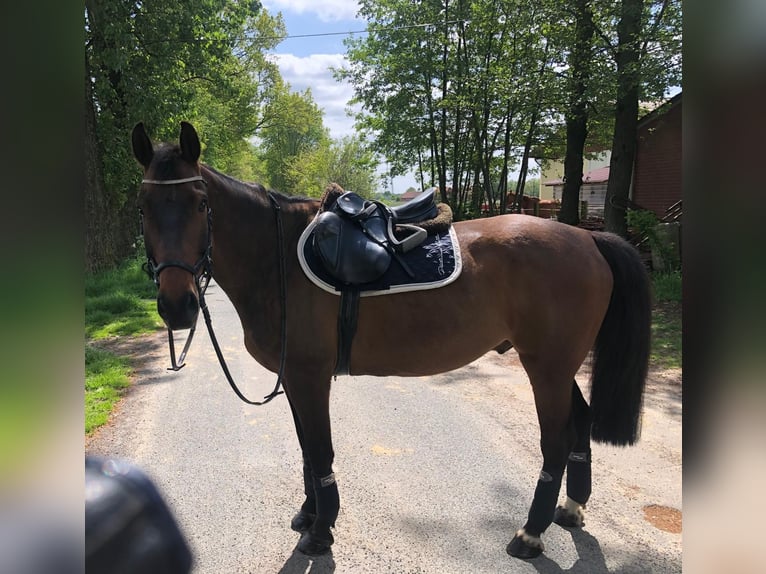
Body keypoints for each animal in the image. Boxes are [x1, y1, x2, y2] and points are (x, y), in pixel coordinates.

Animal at [134, 122, 656, 564]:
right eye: (142, 207)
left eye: (201, 204)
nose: (177, 305)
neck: (277, 261)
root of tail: (588, 240)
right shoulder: (296, 381)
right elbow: (306, 451)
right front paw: (309, 514)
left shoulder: (309, 377)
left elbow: (319, 451)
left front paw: (321, 531)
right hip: (558, 365)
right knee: (581, 422)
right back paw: (571, 509)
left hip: (546, 366)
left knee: (556, 440)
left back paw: (530, 534)